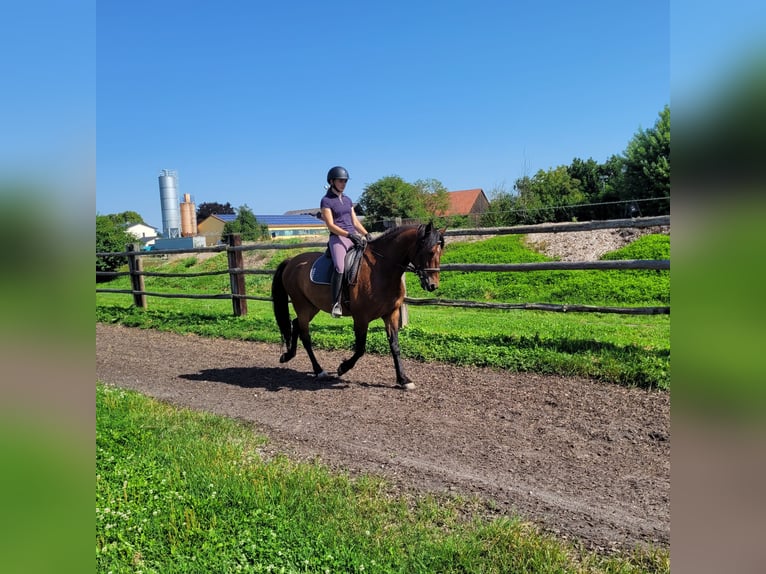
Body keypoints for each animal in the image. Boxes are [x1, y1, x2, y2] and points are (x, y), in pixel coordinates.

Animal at [272, 224, 448, 392]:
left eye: (440, 253)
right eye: (430, 252)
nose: (433, 285)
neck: (381, 269)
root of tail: (291, 261)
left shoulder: (391, 314)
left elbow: (395, 346)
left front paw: (403, 380)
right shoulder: (361, 318)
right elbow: (360, 348)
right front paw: (343, 368)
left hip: (312, 306)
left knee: (295, 324)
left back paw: (288, 355)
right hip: (301, 304)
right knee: (305, 336)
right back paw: (319, 370)